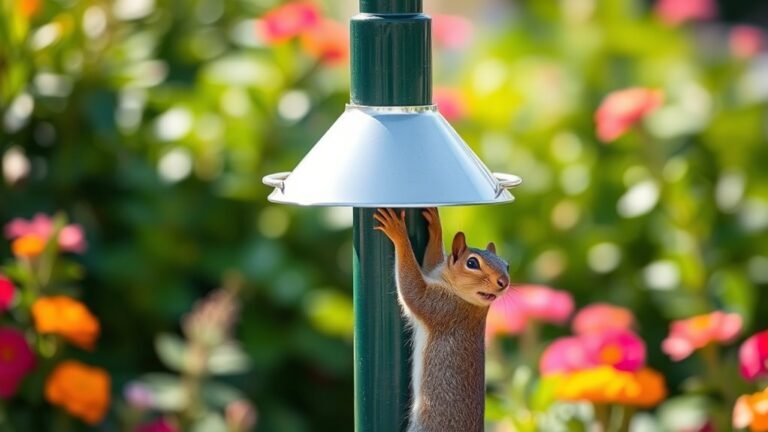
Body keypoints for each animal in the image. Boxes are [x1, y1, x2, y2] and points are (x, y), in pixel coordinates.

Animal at [374, 208, 510, 432]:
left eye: (506, 265)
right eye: (472, 263)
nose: (504, 282)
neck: (472, 303)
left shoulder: (443, 308)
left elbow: (413, 291)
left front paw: (398, 232)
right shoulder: (434, 275)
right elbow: (430, 262)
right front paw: (436, 226)